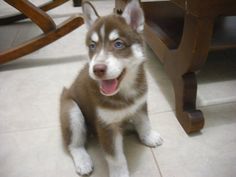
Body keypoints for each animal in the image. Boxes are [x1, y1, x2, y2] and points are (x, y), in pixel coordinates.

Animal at [60, 0, 163, 176]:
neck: (125, 90)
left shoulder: (140, 104)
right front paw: (120, 173)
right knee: (74, 144)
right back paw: (83, 160)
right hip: (72, 111)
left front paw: (148, 136)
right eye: (92, 46)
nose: (97, 69)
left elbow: (145, 122)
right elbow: (116, 158)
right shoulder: (106, 125)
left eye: (118, 44)